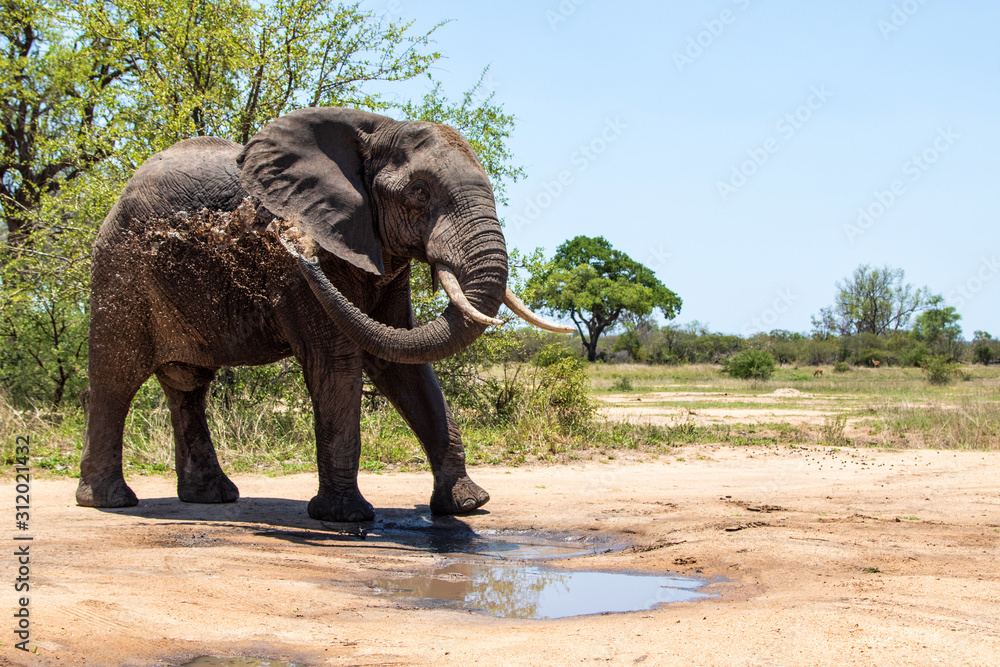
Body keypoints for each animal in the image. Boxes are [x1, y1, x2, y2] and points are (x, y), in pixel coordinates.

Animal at [76, 106, 572, 522]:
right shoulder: (305, 267)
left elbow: (401, 360)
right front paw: (346, 517)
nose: (290, 240)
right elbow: (336, 362)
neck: (374, 130)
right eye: (419, 191)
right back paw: (109, 501)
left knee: (187, 385)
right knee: (116, 378)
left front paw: (467, 505)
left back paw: (213, 498)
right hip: (121, 271)